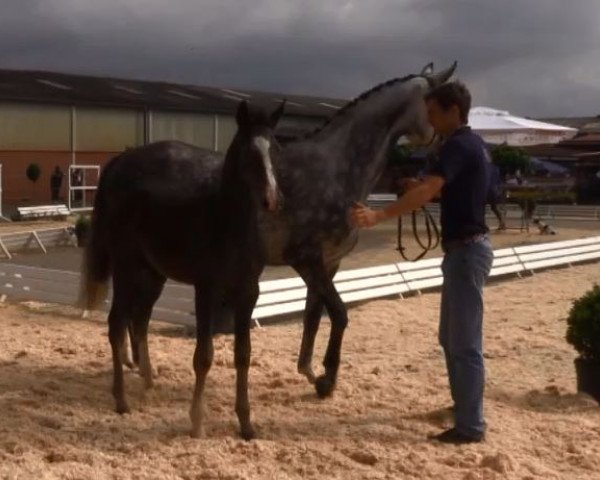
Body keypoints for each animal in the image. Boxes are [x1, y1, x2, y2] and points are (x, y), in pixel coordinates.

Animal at [81, 101, 284, 438]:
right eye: (247, 151)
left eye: (276, 148)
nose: (271, 199)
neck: (227, 222)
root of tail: (119, 162)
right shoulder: (207, 291)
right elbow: (203, 356)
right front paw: (197, 422)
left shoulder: (248, 292)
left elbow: (243, 355)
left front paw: (246, 424)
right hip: (125, 269)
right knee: (116, 324)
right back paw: (121, 400)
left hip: (153, 275)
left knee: (139, 321)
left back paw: (148, 382)